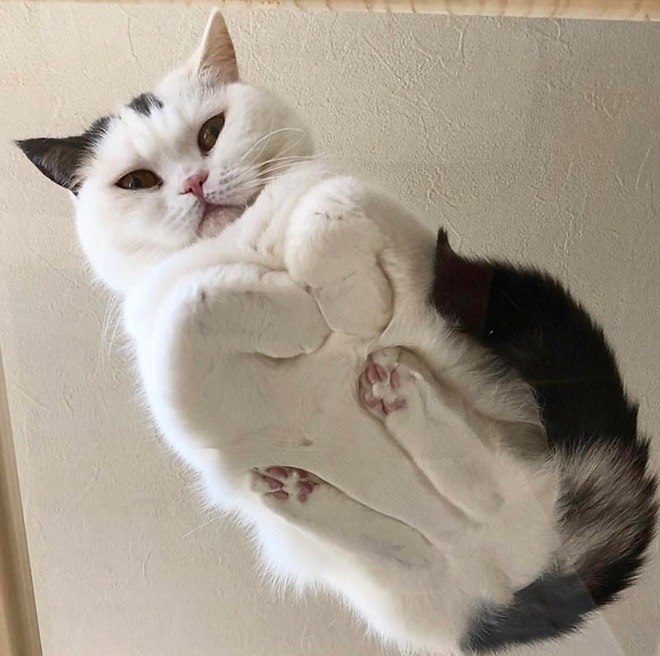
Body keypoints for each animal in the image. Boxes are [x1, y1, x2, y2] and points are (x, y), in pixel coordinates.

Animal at [16, 11, 656, 656]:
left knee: (481, 493)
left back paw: (397, 393)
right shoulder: (173, 382)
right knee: (417, 533)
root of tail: (521, 578)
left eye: (211, 132)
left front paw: (347, 306)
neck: (244, 243)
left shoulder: (383, 216)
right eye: (138, 181)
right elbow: (190, 301)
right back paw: (304, 488)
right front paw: (298, 313)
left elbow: (325, 206)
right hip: (361, 562)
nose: (195, 182)